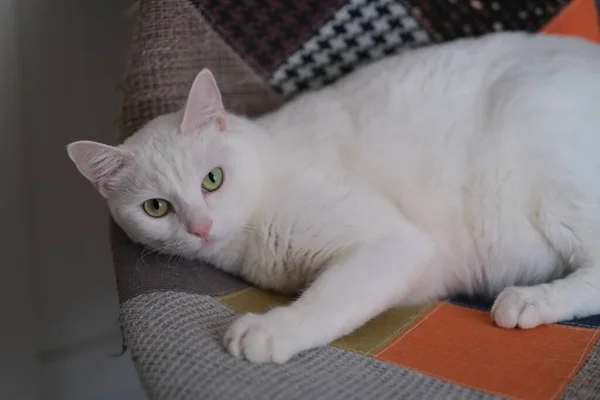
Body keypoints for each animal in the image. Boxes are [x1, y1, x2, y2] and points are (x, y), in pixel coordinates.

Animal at [68, 32, 600, 364]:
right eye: (156, 208)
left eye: (212, 180)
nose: (200, 227)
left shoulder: (394, 243)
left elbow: (327, 299)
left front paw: (271, 330)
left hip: (549, 172)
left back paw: (528, 301)